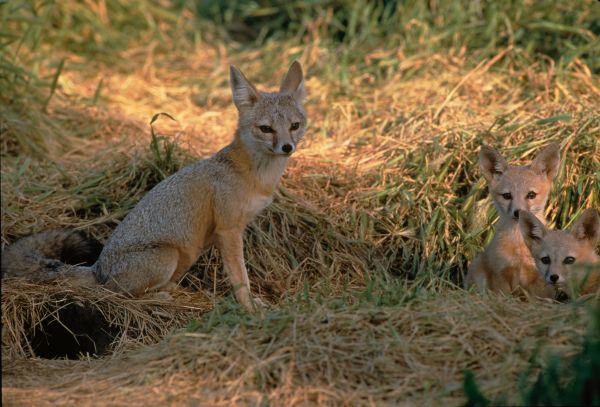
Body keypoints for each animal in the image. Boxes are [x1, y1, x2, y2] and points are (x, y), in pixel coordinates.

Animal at [2, 61, 308, 310]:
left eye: (294, 125)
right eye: (266, 129)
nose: (287, 147)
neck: (256, 176)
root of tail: (99, 268)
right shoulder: (229, 230)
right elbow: (240, 276)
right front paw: (248, 307)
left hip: (187, 255)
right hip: (168, 256)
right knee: (120, 294)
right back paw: (158, 297)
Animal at [466, 143, 560, 300]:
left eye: (531, 195)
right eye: (507, 196)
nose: (518, 212)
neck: (519, 247)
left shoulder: (538, 279)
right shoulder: (501, 274)